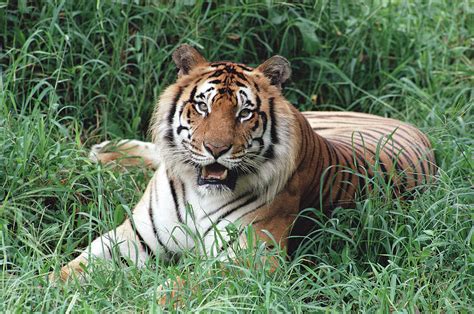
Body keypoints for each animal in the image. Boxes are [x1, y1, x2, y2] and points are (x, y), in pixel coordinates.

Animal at [51, 43, 436, 284]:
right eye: (202, 106)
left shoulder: (246, 258)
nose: (216, 149)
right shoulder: (135, 237)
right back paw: (104, 151)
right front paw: (45, 287)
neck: (199, 192)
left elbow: (179, 290)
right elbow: (71, 270)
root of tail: (407, 125)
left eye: (245, 112)